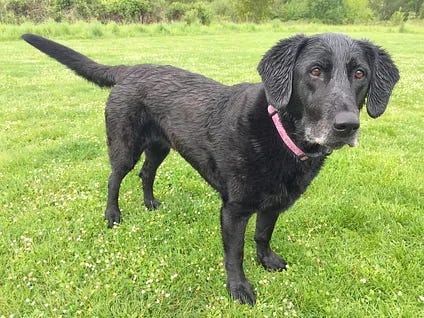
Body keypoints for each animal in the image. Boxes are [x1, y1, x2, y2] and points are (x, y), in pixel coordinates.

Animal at [21, 33, 400, 304]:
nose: (347, 126)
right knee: (115, 178)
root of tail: (129, 69)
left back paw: (150, 203)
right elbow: (235, 253)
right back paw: (113, 215)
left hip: (160, 146)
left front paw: (267, 260)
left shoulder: (275, 204)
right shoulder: (233, 210)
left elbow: (263, 234)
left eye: (360, 74)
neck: (280, 133)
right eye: (315, 71)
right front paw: (239, 288)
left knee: (147, 173)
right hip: (125, 145)